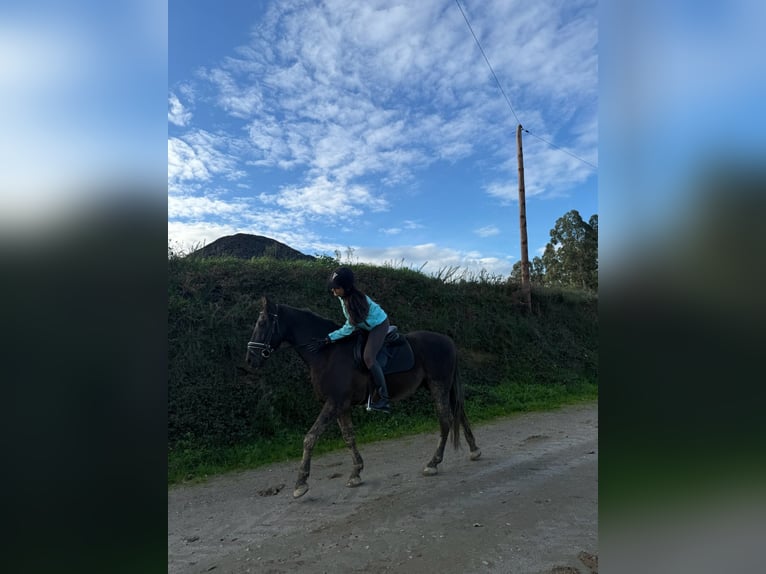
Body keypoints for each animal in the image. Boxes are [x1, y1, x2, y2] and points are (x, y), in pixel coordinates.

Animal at [245, 296, 482, 499]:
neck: (327, 354)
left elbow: (310, 437)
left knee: (445, 420)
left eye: (262, 322)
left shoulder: (334, 403)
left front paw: (300, 484)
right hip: (444, 387)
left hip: (438, 385)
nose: (250, 359)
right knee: (460, 414)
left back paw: (433, 463)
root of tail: (448, 341)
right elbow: (349, 437)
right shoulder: (342, 406)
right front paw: (356, 473)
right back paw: (474, 450)